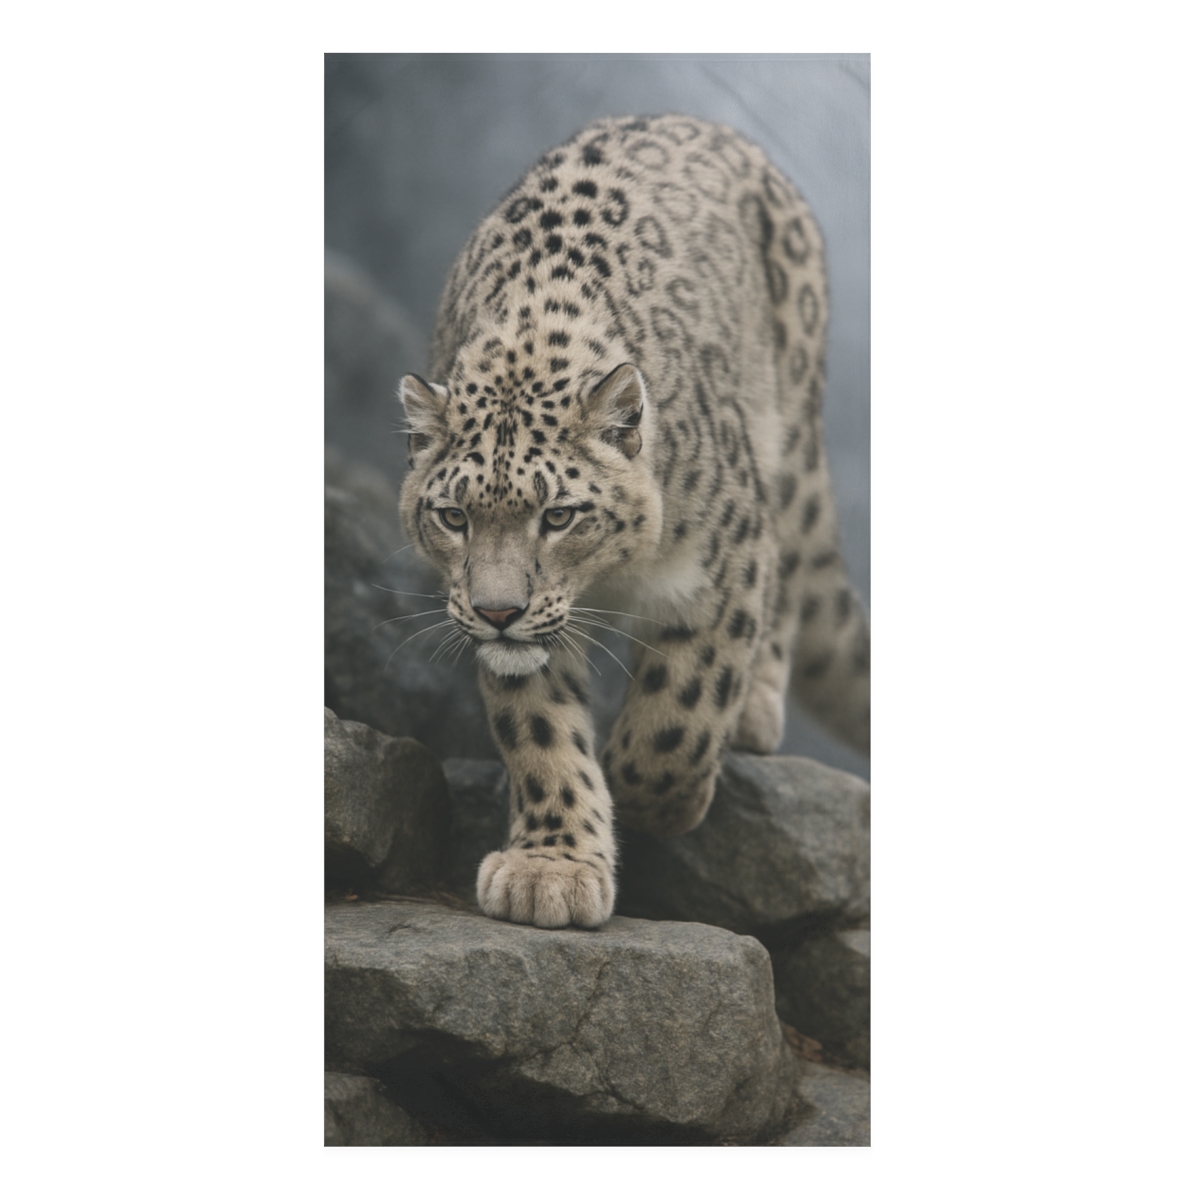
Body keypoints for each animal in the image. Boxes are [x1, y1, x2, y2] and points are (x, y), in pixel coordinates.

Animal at [398, 114, 869, 931]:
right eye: (453, 515)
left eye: (559, 514)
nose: (497, 612)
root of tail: (706, 125)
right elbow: (539, 730)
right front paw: (551, 870)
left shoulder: (723, 561)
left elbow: (678, 717)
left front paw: (648, 796)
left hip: (786, 444)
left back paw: (754, 706)